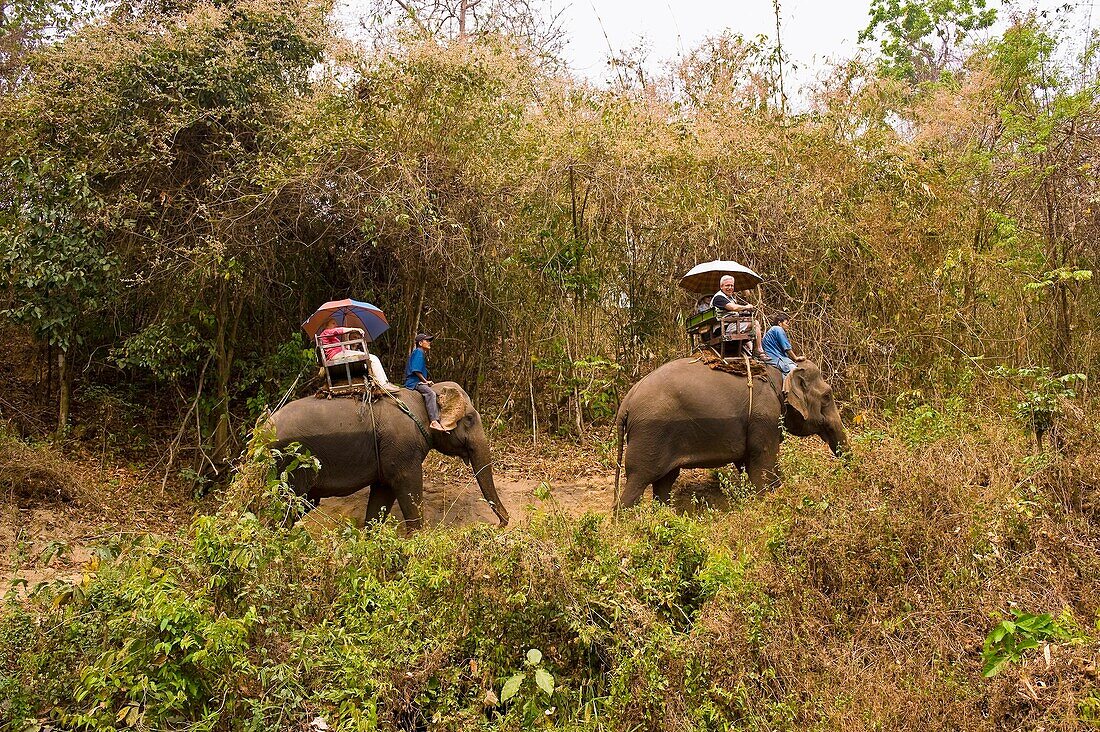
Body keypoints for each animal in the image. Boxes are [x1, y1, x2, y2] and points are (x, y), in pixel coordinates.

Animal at [268, 378, 508, 528]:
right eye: (470, 419)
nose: (502, 523)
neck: (419, 398)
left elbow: (383, 493)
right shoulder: (402, 449)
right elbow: (407, 485)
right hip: (289, 464)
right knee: (284, 508)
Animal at [616, 354, 844, 506]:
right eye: (827, 396)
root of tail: (626, 402)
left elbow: (750, 462)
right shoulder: (764, 415)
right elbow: (762, 460)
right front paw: (764, 501)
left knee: (664, 481)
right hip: (650, 433)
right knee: (638, 480)